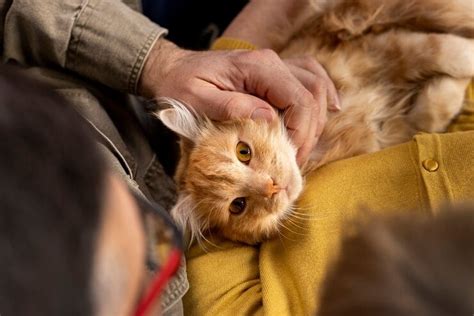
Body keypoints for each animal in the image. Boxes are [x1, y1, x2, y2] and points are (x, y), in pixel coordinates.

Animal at [156, 0, 474, 246]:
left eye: (243, 151)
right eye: (238, 206)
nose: (272, 187)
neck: (331, 134)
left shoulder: (375, 44)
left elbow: (449, 51)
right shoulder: (388, 127)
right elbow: (432, 110)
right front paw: (449, 90)